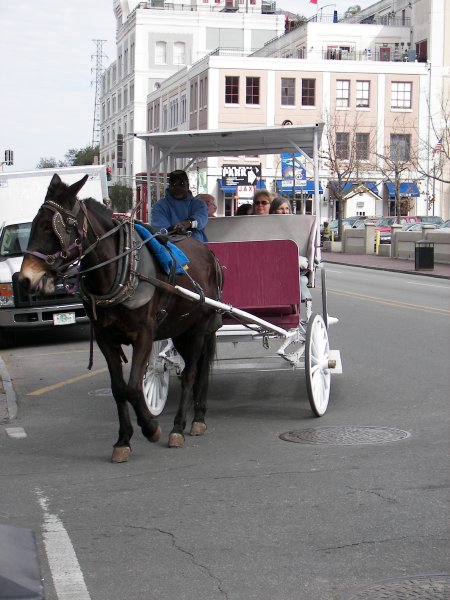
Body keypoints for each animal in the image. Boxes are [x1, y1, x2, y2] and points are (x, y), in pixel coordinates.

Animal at [18, 174, 223, 462]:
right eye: (36, 223)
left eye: (50, 227)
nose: (25, 279)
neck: (121, 269)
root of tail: (209, 255)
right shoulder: (106, 339)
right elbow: (118, 389)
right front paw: (123, 440)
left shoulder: (144, 336)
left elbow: (134, 386)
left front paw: (150, 428)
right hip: (181, 329)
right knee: (196, 372)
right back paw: (198, 418)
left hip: (199, 327)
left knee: (191, 374)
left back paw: (179, 427)